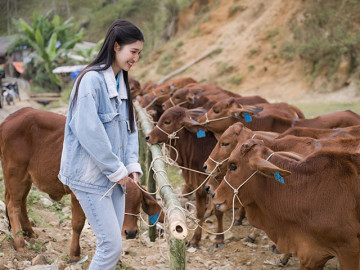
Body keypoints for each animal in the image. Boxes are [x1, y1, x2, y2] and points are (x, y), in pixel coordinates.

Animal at [0, 107, 163, 262]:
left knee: (21, 201)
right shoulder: (77, 195)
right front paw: (75, 254)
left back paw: (29, 232)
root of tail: (9, 119)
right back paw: (20, 243)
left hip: (26, 178)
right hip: (15, 174)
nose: (130, 233)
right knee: (12, 204)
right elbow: (78, 224)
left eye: (139, 202)